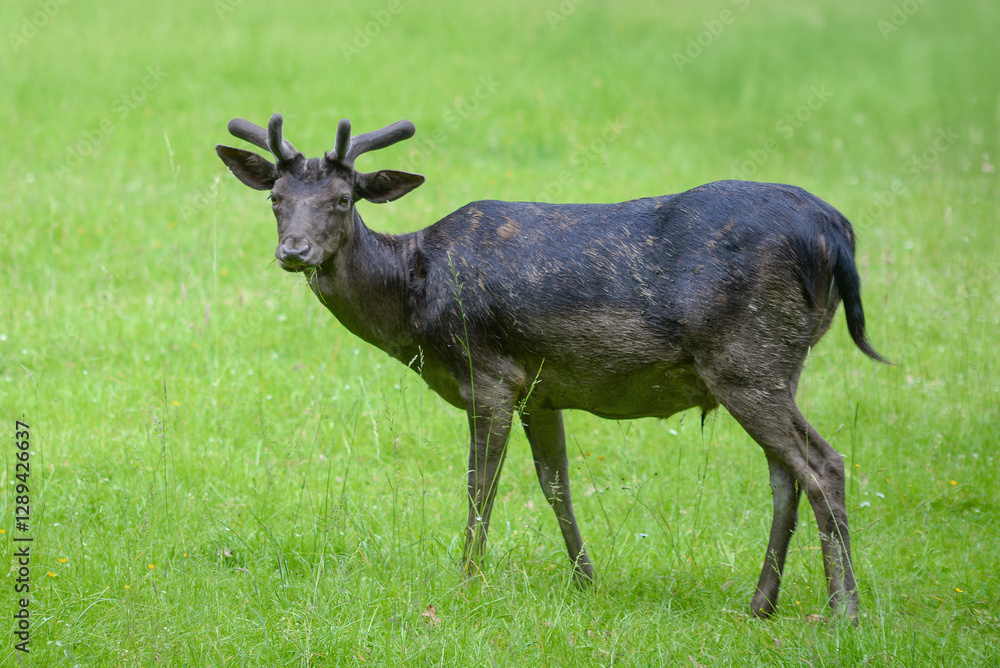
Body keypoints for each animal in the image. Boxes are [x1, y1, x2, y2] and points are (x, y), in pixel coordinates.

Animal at [216, 112, 887, 622]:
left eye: (340, 199)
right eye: (275, 199)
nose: (294, 251)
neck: (415, 303)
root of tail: (837, 232)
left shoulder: (489, 375)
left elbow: (479, 485)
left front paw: (467, 581)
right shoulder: (540, 389)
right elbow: (555, 483)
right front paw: (587, 580)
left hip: (746, 358)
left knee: (823, 465)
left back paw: (843, 611)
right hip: (774, 363)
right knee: (785, 476)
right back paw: (760, 604)